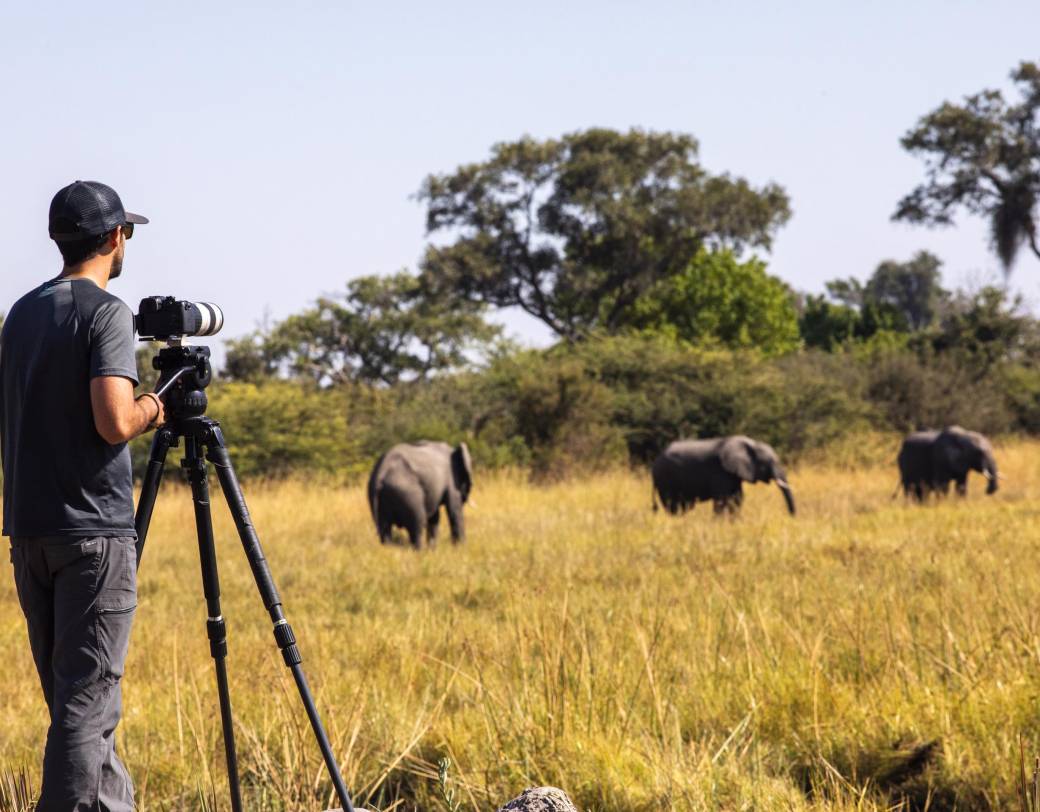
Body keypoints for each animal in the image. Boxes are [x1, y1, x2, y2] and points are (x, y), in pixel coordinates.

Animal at [648, 434, 794, 515]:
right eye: (770, 462)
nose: (791, 517)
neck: (751, 443)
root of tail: (655, 460)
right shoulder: (720, 472)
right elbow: (722, 500)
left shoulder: (733, 474)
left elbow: (737, 499)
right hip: (665, 480)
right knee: (673, 505)